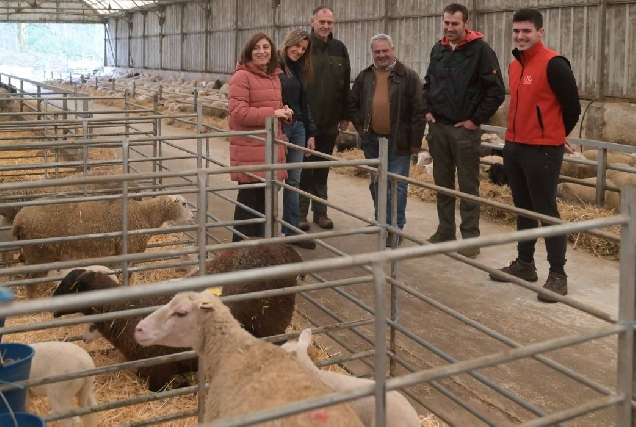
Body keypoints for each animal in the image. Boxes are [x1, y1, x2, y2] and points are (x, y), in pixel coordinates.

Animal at [13, 195, 194, 298]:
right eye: (184, 204)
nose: (193, 217)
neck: (145, 214)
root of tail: (19, 220)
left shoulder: (118, 252)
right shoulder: (129, 249)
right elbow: (127, 275)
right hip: (40, 253)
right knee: (31, 281)